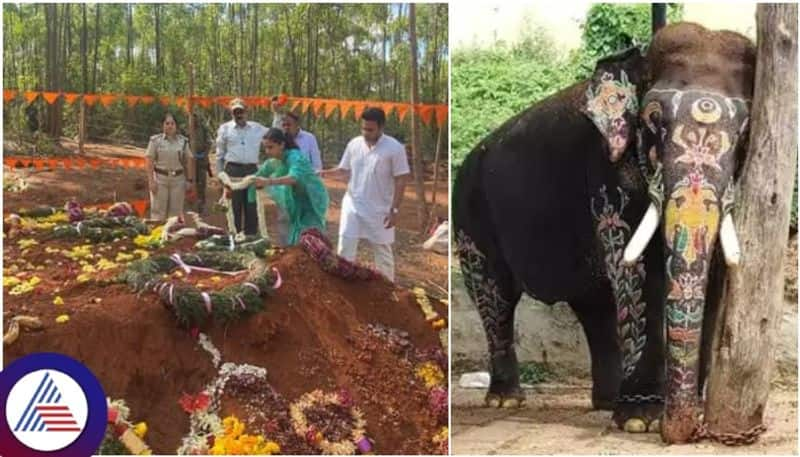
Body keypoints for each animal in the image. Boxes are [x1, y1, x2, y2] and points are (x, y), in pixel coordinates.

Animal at [454, 21, 752, 442]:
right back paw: (505, 401)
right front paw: (640, 422)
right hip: (470, 214)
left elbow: (716, 278)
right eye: (652, 120)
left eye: (744, 132)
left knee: (594, 306)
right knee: (494, 297)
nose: (687, 430)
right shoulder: (609, 177)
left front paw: (680, 413)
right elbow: (637, 274)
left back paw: (607, 402)